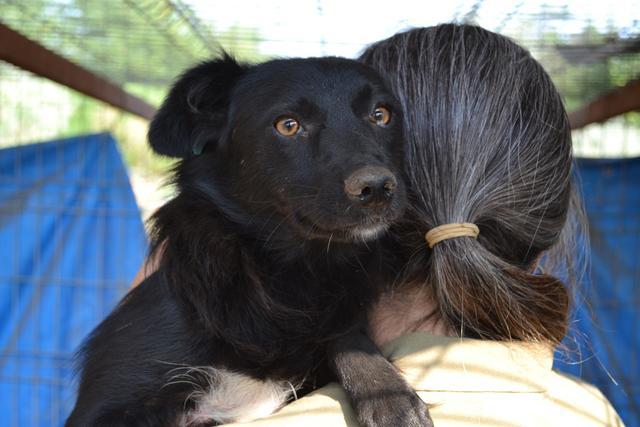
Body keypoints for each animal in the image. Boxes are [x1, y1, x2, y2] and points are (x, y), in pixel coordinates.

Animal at [66, 55, 430, 426]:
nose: (377, 188)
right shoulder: (107, 404)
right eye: (288, 125)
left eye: (381, 114)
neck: (283, 277)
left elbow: (346, 335)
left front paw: (387, 394)